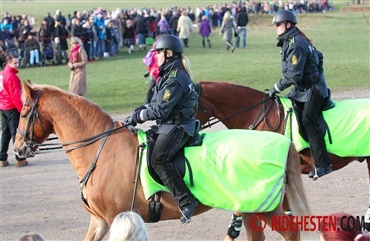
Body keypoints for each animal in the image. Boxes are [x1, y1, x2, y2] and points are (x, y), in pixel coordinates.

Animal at [13, 80, 316, 241]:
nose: (16, 149)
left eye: (24, 111)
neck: (100, 148)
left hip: (266, 208)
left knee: (291, 233)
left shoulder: (115, 218)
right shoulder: (99, 222)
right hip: (252, 206)